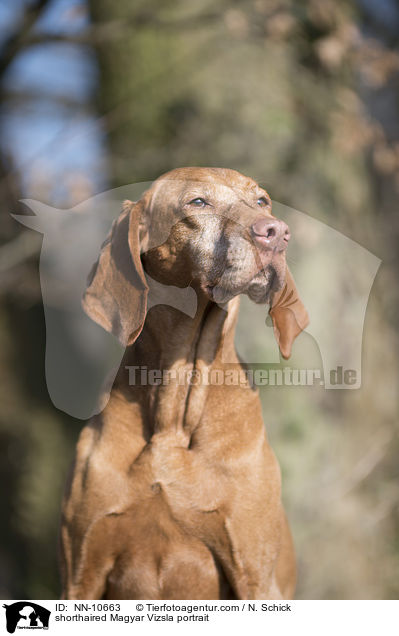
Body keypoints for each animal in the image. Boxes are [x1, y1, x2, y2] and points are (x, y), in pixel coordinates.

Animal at [60, 166, 310, 600]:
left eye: (262, 201)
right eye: (198, 202)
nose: (277, 233)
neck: (173, 417)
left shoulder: (255, 577)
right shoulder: (81, 574)